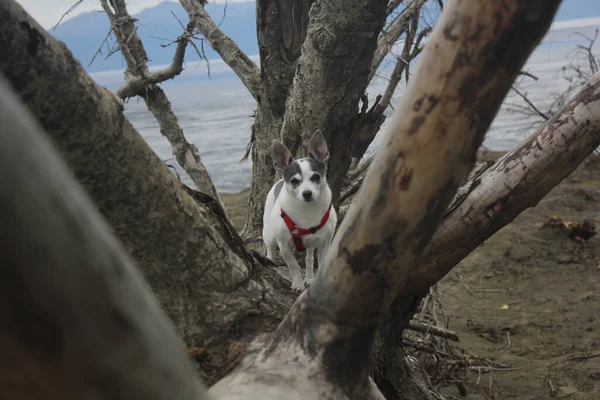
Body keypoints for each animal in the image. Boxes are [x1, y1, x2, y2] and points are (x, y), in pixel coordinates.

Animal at [262, 130, 338, 290]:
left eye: (315, 177)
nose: (307, 193)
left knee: (309, 258)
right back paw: (269, 262)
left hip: (311, 245)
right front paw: (297, 284)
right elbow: (294, 266)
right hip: (269, 235)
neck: (306, 210)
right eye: (294, 181)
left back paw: (309, 278)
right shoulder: (284, 246)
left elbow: (319, 263)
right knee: (270, 250)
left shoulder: (324, 244)